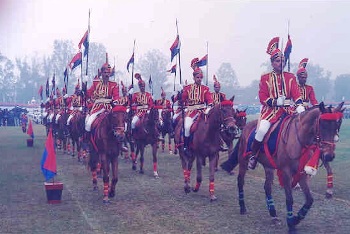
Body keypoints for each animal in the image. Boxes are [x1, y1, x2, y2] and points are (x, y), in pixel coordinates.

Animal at [221, 101, 344, 231]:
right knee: (240, 181)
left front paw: (296, 219)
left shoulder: (302, 173)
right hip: (243, 160)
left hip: (268, 166)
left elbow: (310, 200)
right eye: (322, 125)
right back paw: (243, 207)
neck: (299, 139)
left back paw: (273, 214)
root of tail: (247, 127)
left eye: (337, 125)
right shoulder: (286, 172)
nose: (329, 156)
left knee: (267, 187)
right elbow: (289, 199)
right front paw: (290, 223)